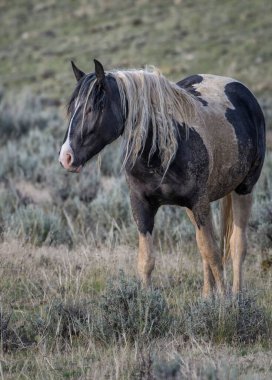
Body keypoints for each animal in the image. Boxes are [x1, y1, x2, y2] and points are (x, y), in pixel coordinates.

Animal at [59, 59, 266, 296]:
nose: (66, 157)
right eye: (72, 108)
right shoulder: (142, 205)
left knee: (237, 245)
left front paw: (225, 302)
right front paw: (146, 302)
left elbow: (214, 255)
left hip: (243, 190)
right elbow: (147, 261)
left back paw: (237, 295)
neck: (163, 149)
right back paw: (206, 296)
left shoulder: (199, 202)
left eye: (92, 108)